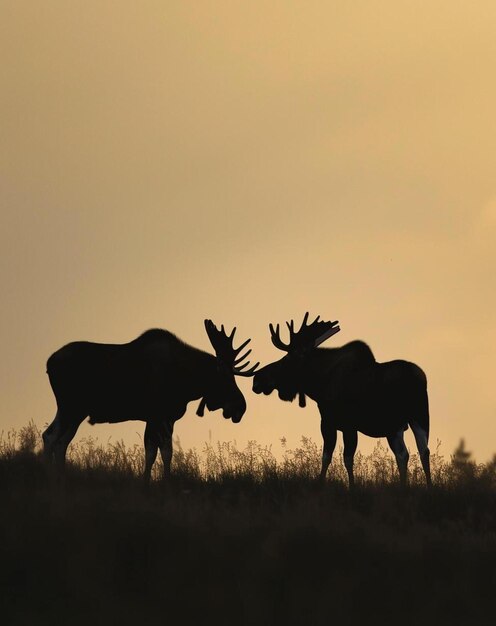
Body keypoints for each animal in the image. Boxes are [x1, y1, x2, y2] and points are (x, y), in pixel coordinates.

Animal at [43, 320, 260, 480]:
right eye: (225, 378)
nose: (241, 407)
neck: (187, 382)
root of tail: (49, 363)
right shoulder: (161, 417)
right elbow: (164, 453)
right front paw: (163, 483)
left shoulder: (159, 419)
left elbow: (153, 452)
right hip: (70, 407)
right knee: (53, 437)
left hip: (75, 411)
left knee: (56, 439)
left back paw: (59, 476)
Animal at [252, 314, 430, 486]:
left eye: (286, 360)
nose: (257, 378)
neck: (320, 383)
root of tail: (419, 377)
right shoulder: (344, 426)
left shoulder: (335, 423)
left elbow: (336, 458)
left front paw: (337, 486)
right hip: (412, 419)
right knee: (415, 452)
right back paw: (417, 487)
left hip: (400, 422)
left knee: (409, 453)